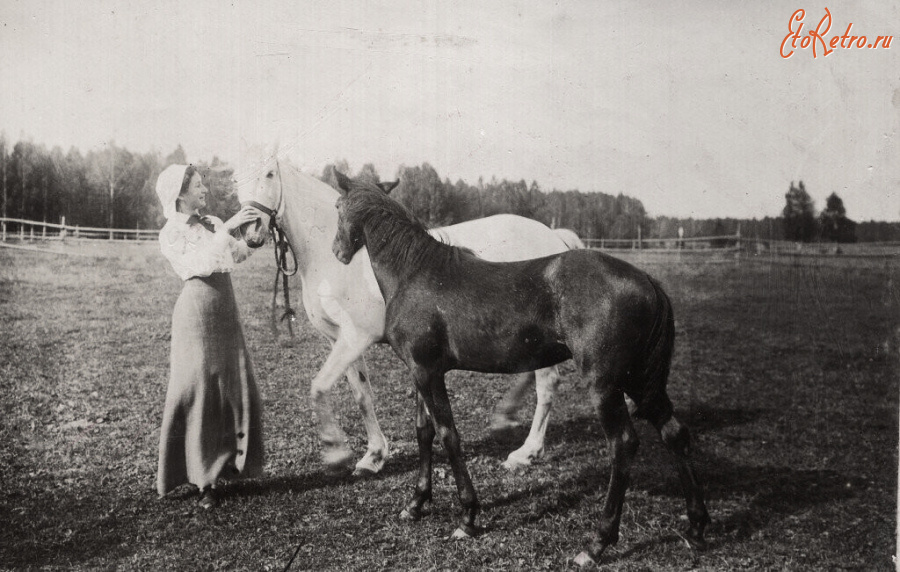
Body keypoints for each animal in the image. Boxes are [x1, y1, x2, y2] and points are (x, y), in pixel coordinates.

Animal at [236, 154, 580, 476]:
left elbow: (319, 387)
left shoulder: (355, 337)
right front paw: (373, 457)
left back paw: (526, 452)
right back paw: (505, 418)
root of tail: (554, 237)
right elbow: (362, 395)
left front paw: (336, 453)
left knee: (547, 383)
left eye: (269, 174)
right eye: (236, 180)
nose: (250, 230)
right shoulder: (340, 340)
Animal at [330, 172, 712, 564]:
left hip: (606, 385)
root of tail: (648, 281)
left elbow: (449, 435)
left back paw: (596, 542)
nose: (337, 252)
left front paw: (468, 518)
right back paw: (696, 527)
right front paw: (416, 504)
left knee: (622, 444)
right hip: (640, 381)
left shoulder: (427, 372)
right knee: (674, 434)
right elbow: (425, 432)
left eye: (337, 206)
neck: (415, 274)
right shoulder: (422, 370)